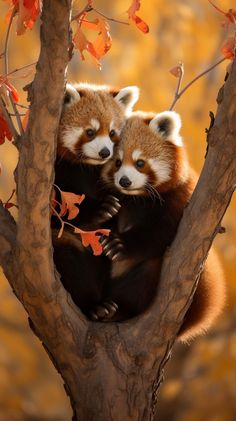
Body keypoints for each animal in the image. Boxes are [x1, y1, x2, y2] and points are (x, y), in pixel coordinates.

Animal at [52, 82, 139, 316]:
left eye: (112, 133)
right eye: (90, 132)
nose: (104, 152)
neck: (87, 166)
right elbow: (58, 211)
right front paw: (102, 208)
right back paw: (94, 306)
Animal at [95, 109, 226, 342]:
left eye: (140, 163)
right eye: (117, 162)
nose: (124, 181)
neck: (137, 198)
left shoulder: (180, 199)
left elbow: (159, 234)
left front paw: (119, 245)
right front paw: (104, 210)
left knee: (147, 273)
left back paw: (118, 310)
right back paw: (103, 308)